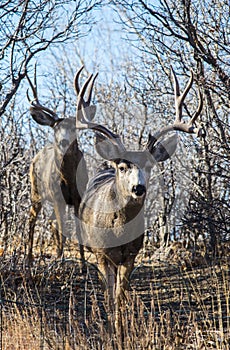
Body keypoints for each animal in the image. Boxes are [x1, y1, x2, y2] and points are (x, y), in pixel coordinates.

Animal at [26, 65, 97, 264]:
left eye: (74, 128)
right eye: (56, 127)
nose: (64, 142)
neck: (69, 179)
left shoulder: (78, 197)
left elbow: (78, 231)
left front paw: (83, 264)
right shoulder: (58, 197)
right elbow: (63, 230)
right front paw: (61, 260)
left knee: (51, 222)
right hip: (36, 191)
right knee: (32, 219)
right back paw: (29, 258)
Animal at [74, 67, 202, 332]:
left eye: (150, 165)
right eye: (123, 167)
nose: (138, 188)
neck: (118, 232)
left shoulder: (131, 254)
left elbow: (121, 295)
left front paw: (121, 329)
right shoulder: (102, 254)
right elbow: (110, 295)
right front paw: (111, 330)